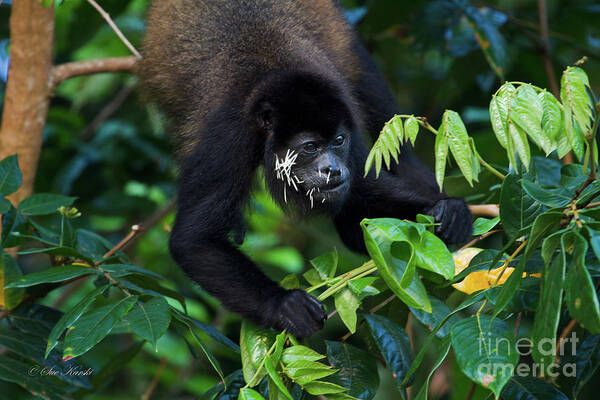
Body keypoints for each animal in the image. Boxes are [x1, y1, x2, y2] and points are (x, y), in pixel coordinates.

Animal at [141, 0, 474, 340]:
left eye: (338, 141)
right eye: (310, 147)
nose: (334, 170)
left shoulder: (348, 120)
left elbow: (362, 201)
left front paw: (447, 211)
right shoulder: (227, 137)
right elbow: (195, 240)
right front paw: (284, 305)